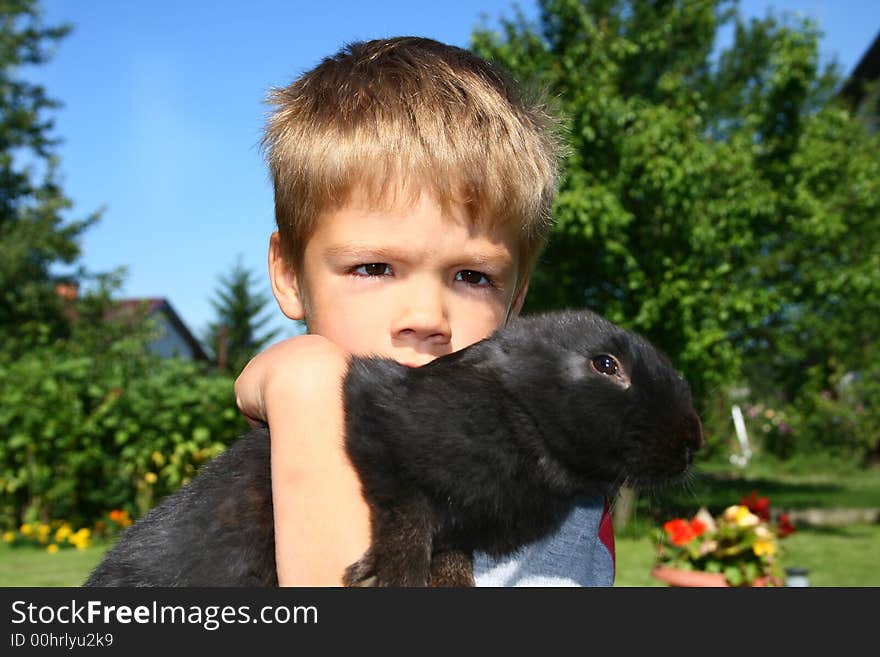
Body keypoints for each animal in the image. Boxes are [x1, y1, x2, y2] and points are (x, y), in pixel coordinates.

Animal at [84, 310, 700, 588]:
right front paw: (390, 576)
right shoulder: (379, 424)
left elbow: (448, 554)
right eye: (606, 365)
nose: (691, 441)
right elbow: (407, 514)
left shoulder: (461, 530)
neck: (518, 409)